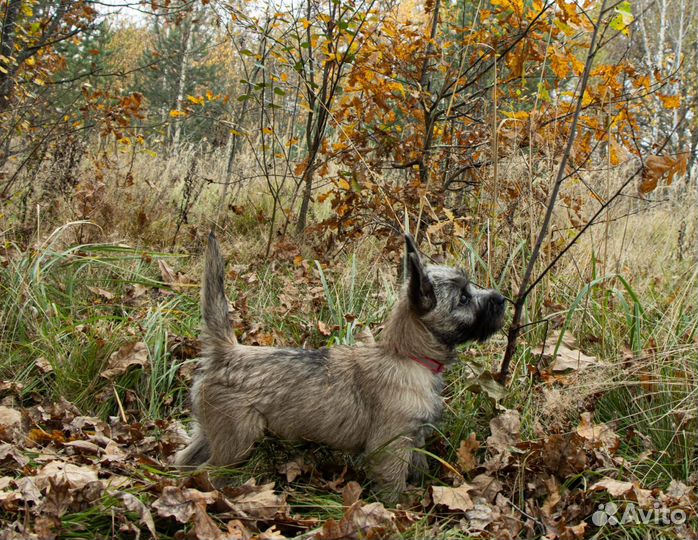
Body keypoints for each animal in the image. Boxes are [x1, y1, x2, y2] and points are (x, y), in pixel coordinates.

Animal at [177, 232, 506, 502]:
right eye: (463, 298)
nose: (502, 298)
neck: (405, 355)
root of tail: (226, 351)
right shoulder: (390, 447)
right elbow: (393, 487)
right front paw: (399, 513)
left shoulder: (414, 438)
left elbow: (419, 467)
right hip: (236, 442)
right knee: (207, 474)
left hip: (210, 432)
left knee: (185, 461)